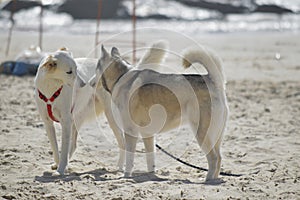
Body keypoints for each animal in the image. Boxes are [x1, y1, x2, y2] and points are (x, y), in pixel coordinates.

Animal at [34, 42, 166, 175]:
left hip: (110, 116)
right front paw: (58, 164)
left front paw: (61, 169)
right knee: (74, 144)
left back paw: (120, 167)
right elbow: (55, 147)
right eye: (69, 72)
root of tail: (126, 74)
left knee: (123, 143)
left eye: (76, 69)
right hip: (77, 117)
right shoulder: (48, 122)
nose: (84, 84)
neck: (51, 88)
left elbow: (64, 149)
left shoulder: (66, 121)